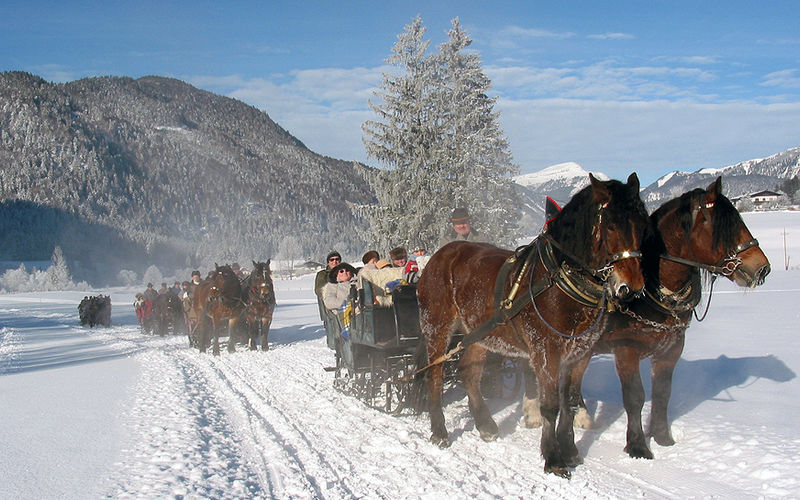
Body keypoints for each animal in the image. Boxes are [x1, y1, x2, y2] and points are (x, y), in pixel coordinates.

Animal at [416, 173, 652, 476]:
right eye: (611, 225)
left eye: (643, 225)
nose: (631, 287)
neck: (560, 280)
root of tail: (440, 255)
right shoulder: (546, 351)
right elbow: (549, 404)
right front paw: (553, 458)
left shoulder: (581, 353)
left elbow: (570, 401)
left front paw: (571, 450)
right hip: (437, 329)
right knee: (434, 375)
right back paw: (439, 432)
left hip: (480, 334)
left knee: (469, 373)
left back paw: (486, 425)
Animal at [560, 178, 772, 458]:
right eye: (721, 227)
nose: (762, 268)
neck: (652, 289)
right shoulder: (626, 348)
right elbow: (635, 396)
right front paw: (638, 446)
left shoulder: (671, 349)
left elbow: (663, 393)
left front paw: (662, 438)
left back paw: (580, 416)